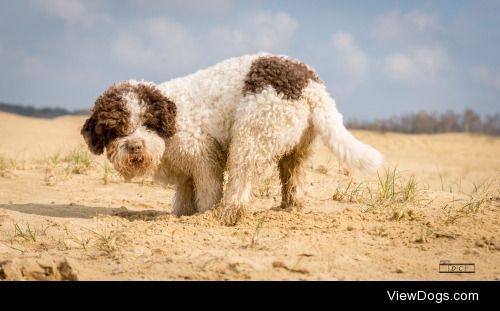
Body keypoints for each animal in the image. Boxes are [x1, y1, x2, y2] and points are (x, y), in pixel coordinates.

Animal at [81, 52, 382, 225]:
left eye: (147, 123)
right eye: (117, 129)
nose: (134, 146)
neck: (173, 120)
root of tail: (310, 84)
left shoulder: (203, 156)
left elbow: (208, 191)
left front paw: (202, 216)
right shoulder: (185, 170)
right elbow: (184, 195)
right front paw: (182, 216)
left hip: (253, 136)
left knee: (241, 181)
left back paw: (227, 216)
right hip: (298, 147)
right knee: (293, 179)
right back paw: (288, 208)